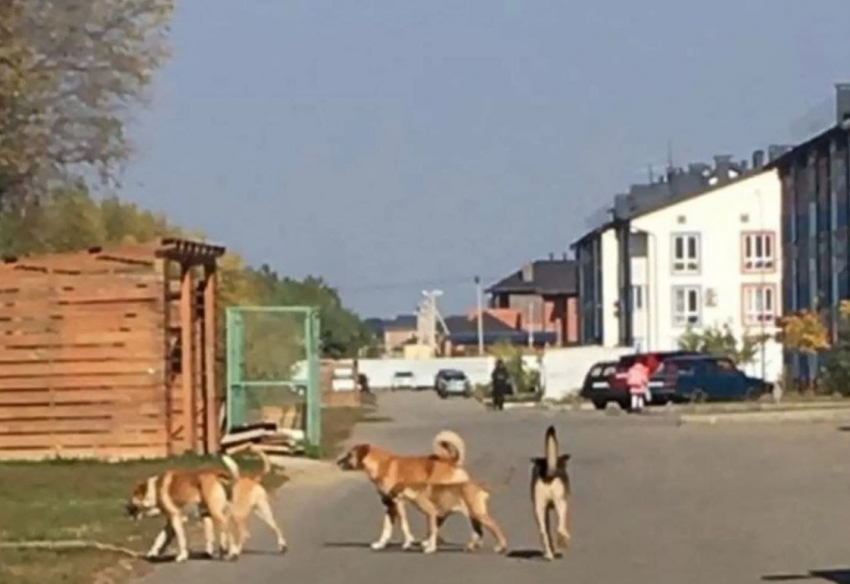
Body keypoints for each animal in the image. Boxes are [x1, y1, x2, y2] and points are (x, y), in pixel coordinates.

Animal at [334, 428, 470, 552]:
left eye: (349, 455)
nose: (337, 462)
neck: (381, 464)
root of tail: (451, 461)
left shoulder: (397, 502)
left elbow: (403, 525)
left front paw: (408, 542)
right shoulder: (388, 504)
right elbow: (386, 528)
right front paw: (381, 544)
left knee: (440, 517)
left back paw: (428, 541)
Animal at [528, 426, 568, 560]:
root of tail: (548, 473)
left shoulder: (545, 511)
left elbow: (548, 532)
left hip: (538, 509)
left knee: (543, 533)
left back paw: (549, 555)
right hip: (561, 504)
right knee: (560, 528)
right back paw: (561, 545)